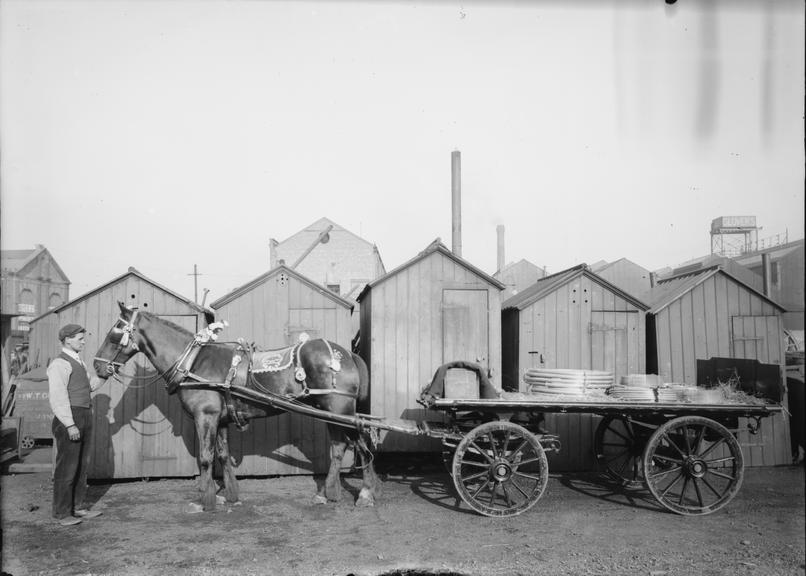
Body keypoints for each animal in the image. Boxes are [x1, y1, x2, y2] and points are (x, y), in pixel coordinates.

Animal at [93, 302, 384, 508]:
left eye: (114, 331)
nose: (96, 365)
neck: (194, 363)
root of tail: (346, 354)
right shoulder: (220, 419)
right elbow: (222, 455)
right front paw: (230, 494)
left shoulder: (206, 416)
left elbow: (206, 457)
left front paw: (205, 499)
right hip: (329, 410)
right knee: (339, 446)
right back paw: (328, 493)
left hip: (339, 408)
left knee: (359, 443)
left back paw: (366, 492)